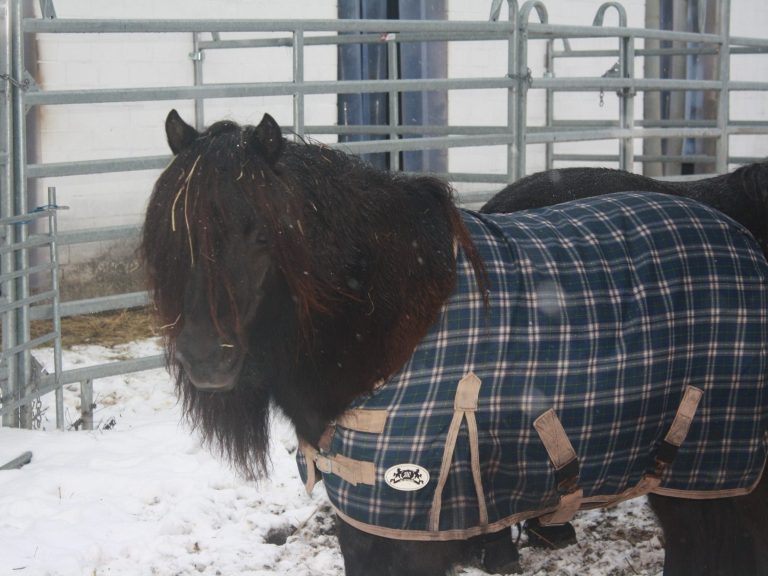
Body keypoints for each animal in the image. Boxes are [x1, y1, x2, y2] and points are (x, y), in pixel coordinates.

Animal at [141, 110, 768, 576]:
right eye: (172, 235)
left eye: (263, 235)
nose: (205, 357)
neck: (392, 329)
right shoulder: (363, 524)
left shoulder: (410, 531)